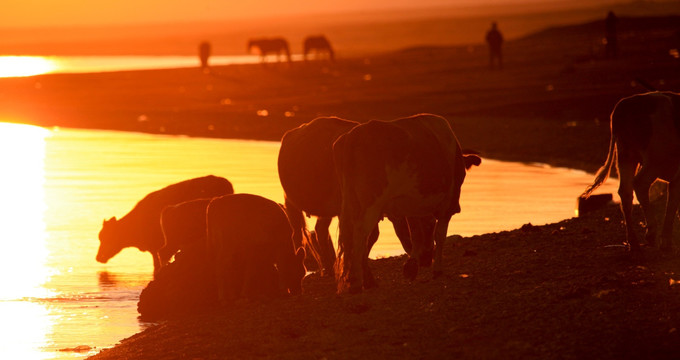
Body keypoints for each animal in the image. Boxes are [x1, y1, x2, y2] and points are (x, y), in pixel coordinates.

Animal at [332, 114, 480, 294]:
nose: (426, 259)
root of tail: (354, 135)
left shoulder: (410, 205)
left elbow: (415, 233)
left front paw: (412, 266)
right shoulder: (447, 204)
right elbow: (439, 235)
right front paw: (437, 269)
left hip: (350, 201)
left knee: (350, 235)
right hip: (371, 202)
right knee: (360, 233)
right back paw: (356, 282)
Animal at [580, 91, 680, 252]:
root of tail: (623, 105)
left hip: (626, 156)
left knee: (625, 191)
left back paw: (634, 242)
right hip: (656, 158)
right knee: (640, 184)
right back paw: (652, 235)